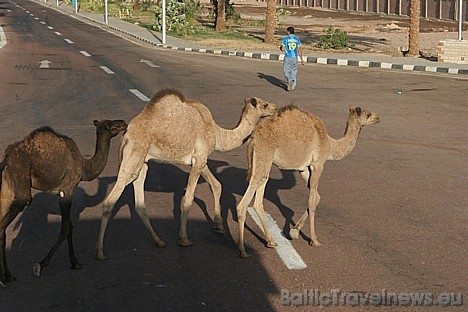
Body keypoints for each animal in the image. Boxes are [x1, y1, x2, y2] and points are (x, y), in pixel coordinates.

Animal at [0, 120, 127, 288]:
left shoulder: (64, 192)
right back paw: (3, 278)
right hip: (21, 190)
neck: (84, 167)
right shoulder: (67, 190)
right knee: (4, 224)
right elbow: (66, 228)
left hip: (7, 192)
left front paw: (75, 263)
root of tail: (6, 160)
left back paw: (8, 275)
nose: (124, 123)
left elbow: (70, 227)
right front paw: (40, 265)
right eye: (111, 126)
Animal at [95, 88, 278, 260]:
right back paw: (100, 252)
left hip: (142, 163)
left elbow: (217, 185)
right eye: (264, 104)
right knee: (109, 202)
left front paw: (218, 226)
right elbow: (188, 198)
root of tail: (126, 136)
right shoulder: (200, 158)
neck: (217, 133)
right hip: (134, 156)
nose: (275, 108)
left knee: (139, 203)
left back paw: (159, 241)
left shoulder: (199, 159)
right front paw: (184, 239)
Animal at [236, 106, 378, 258]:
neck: (330, 145)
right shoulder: (318, 164)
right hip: (264, 157)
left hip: (264, 165)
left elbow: (316, 197)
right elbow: (312, 201)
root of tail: (253, 138)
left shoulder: (304, 168)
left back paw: (271, 242)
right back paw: (243, 250)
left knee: (258, 200)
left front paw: (294, 231)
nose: (378, 118)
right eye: (368, 114)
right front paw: (314, 240)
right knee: (243, 204)